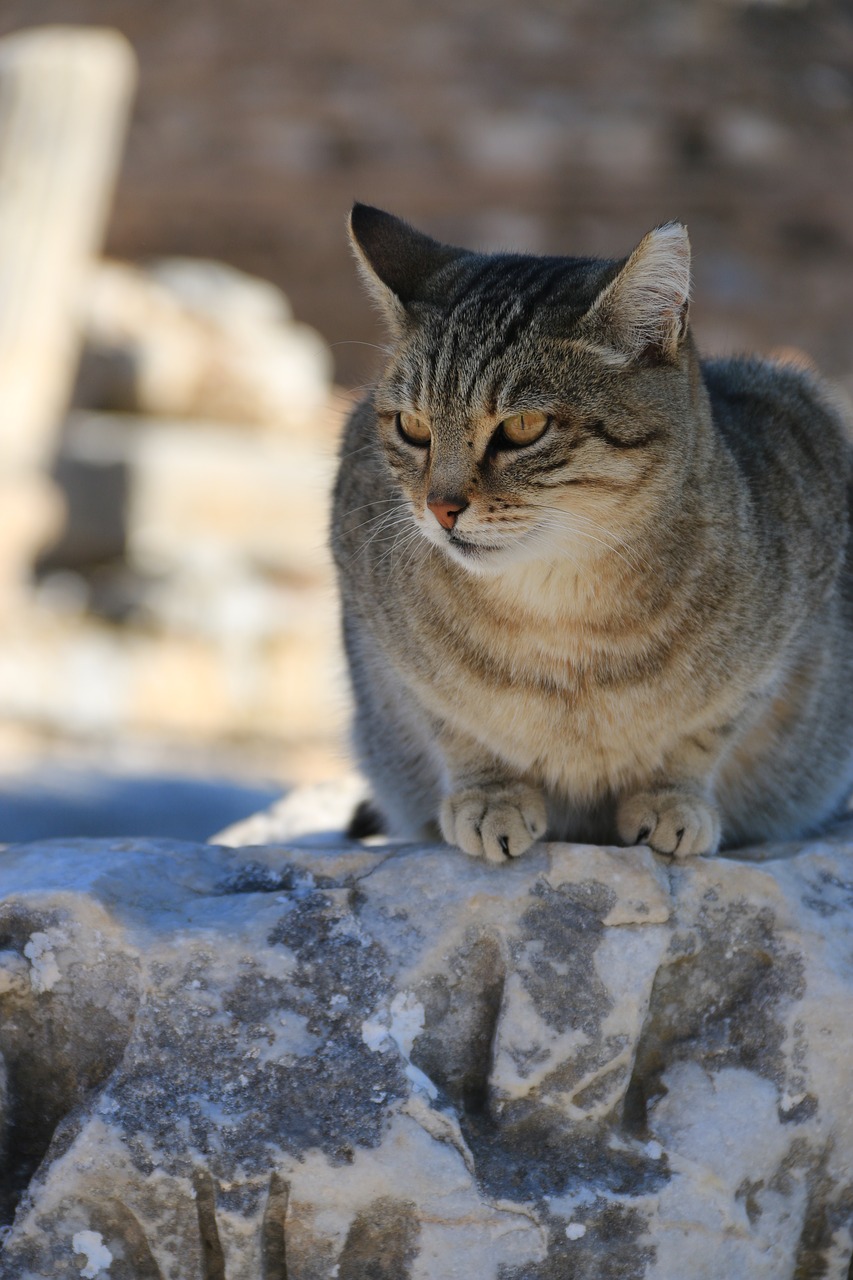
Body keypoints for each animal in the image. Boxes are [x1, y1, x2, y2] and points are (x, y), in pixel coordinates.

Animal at [330, 204, 850, 865]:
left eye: (524, 426)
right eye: (413, 427)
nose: (440, 507)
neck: (562, 611)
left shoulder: (775, 654)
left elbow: (701, 736)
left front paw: (671, 802)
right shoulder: (388, 649)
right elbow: (455, 724)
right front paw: (490, 797)